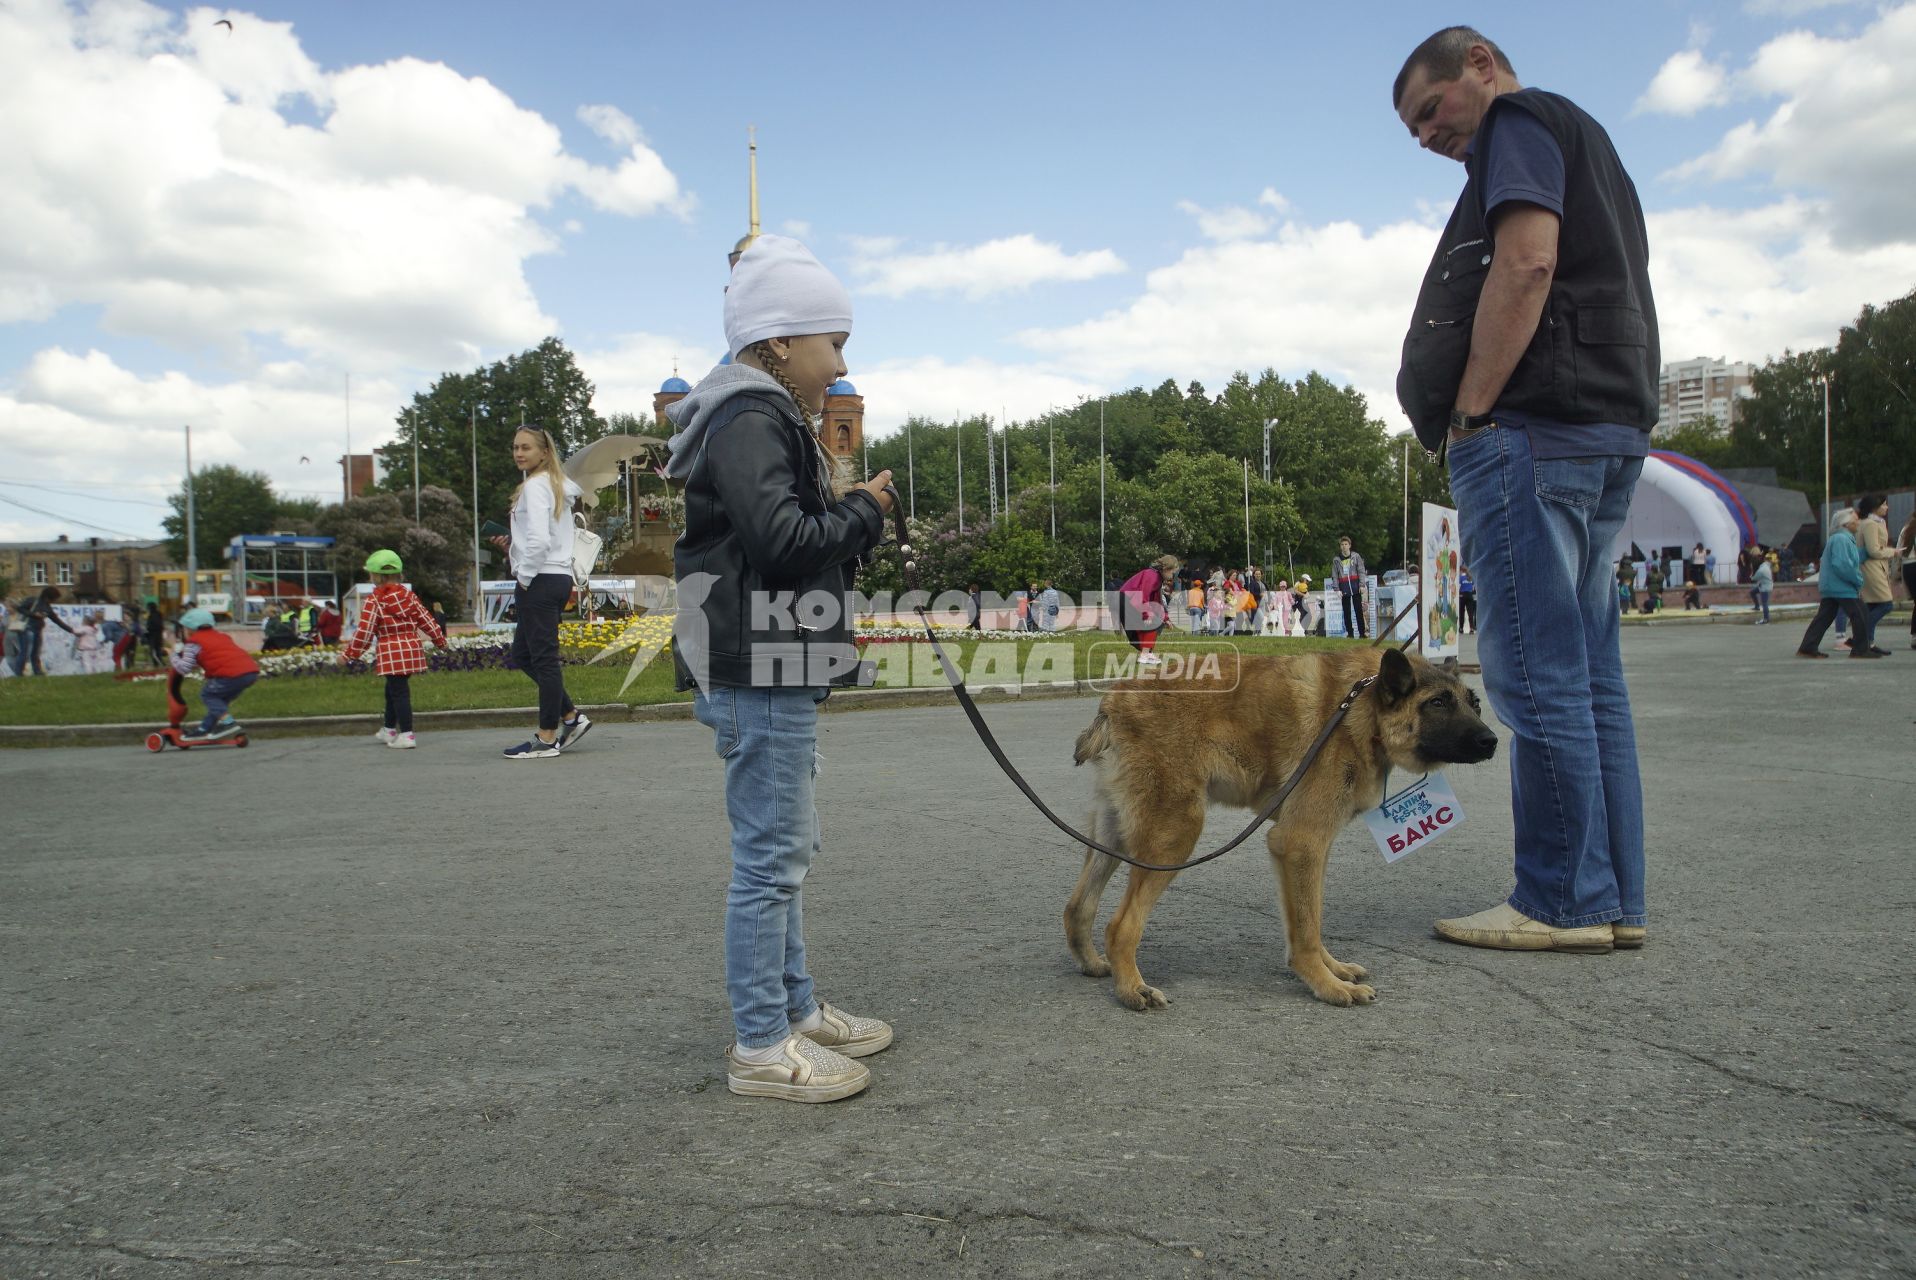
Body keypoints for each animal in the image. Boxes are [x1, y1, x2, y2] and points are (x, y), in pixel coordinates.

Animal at [1065, 651, 1494, 1011]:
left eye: (1474, 704)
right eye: (1437, 703)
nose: (1491, 741)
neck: (1362, 707)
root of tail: (1115, 701)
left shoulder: (1310, 851)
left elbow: (1310, 920)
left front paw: (1332, 969)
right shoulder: (1300, 845)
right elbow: (1305, 930)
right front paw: (1327, 985)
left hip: (1115, 836)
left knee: (1077, 907)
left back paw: (1093, 963)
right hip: (1173, 838)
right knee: (1120, 926)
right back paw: (1131, 989)